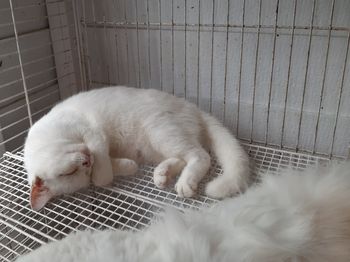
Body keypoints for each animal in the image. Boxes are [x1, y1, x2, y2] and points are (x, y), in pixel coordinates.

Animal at [23, 87, 249, 210]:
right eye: (76, 172)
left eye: (68, 172)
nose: (87, 160)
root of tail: (195, 109)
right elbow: (103, 171)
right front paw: (128, 166)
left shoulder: (92, 134)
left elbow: (101, 176)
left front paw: (110, 168)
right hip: (157, 144)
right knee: (182, 157)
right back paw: (162, 174)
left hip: (160, 131)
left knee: (199, 155)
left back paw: (185, 182)